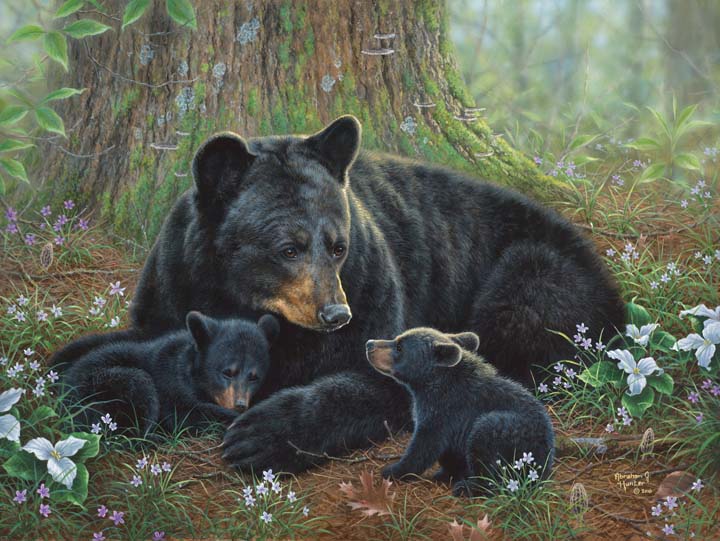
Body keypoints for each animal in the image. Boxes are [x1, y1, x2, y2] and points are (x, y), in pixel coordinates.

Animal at [59, 312, 278, 434]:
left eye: (254, 376)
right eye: (227, 372)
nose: (240, 404)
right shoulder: (170, 384)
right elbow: (188, 415)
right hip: (103, 384)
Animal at [366, 327, 555, 497]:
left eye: (400, 346)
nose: (369, 344)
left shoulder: (444, 411)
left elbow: (425, 446)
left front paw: (394, 470)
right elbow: (449, 451)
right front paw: (447, 473)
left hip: (506, 430)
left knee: (485, 447)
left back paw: (469, 487)